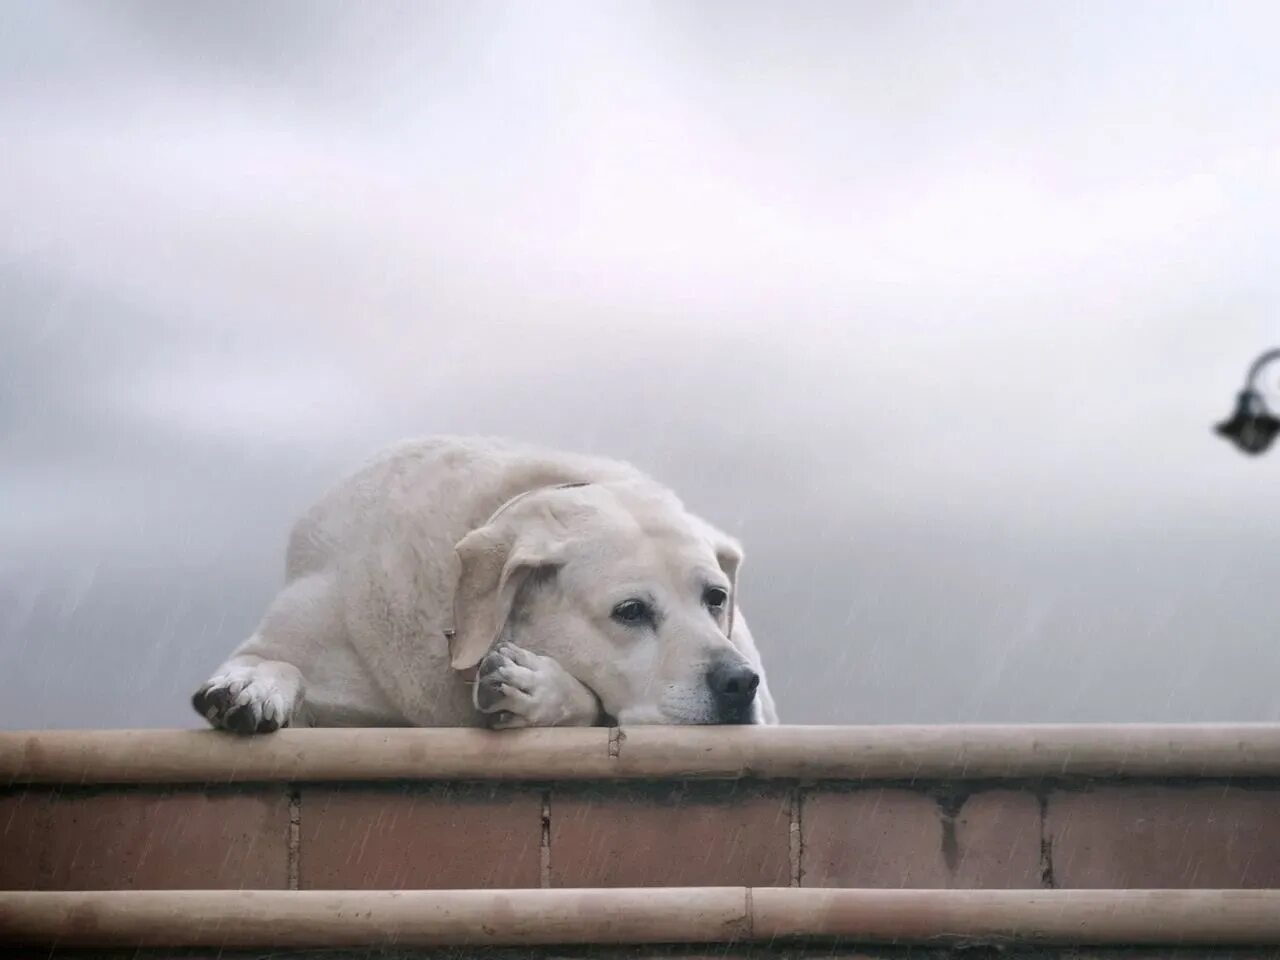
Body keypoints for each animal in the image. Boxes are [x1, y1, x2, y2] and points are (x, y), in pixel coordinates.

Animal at [193, 435, 773, 727]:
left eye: (716, 598)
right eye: (630, 611)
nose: (738, 683)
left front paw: (536, 688)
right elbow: (273, 659)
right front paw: (253, 685)